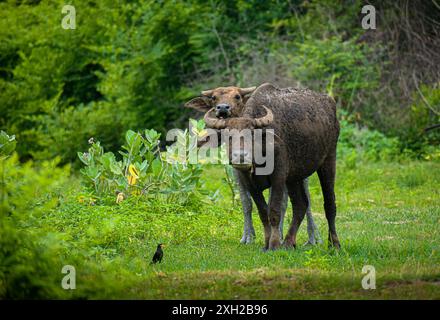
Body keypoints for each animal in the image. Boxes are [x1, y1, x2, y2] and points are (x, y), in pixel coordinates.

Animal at [201, 82, 342, 250]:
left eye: (252, 135)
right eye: (228, 137)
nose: (240, 156)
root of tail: (330, 104)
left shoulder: (278, 177)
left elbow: (274, 210)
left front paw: (274, 244)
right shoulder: (249, 183)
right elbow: (263, 211)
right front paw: (267, 242)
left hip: (328, 161)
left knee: (329, 204)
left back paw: (334, 243)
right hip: (295, 177)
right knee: (300, 205)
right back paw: (288, 242)